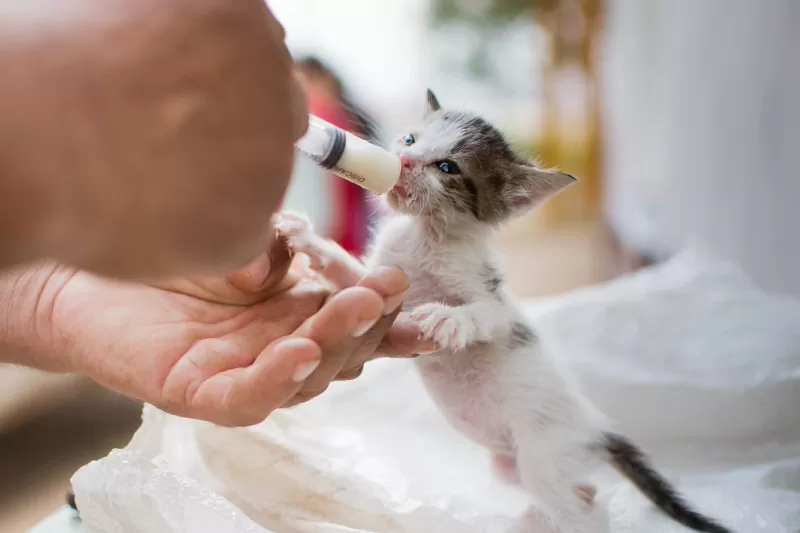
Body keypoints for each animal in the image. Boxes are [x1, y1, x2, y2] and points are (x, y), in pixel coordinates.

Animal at [274, 90, 732, 532]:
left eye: (447, 167)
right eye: (410, 140)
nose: (402, 161)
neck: (426, 236)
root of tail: (598, 432)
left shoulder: (491, 298)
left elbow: (487, 316)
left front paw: (451, 318)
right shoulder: (383, 276)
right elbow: (350, 276)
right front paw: (310, 241)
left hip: (543, 456)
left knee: (581, 514)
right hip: (510, 465)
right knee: (581, 493)